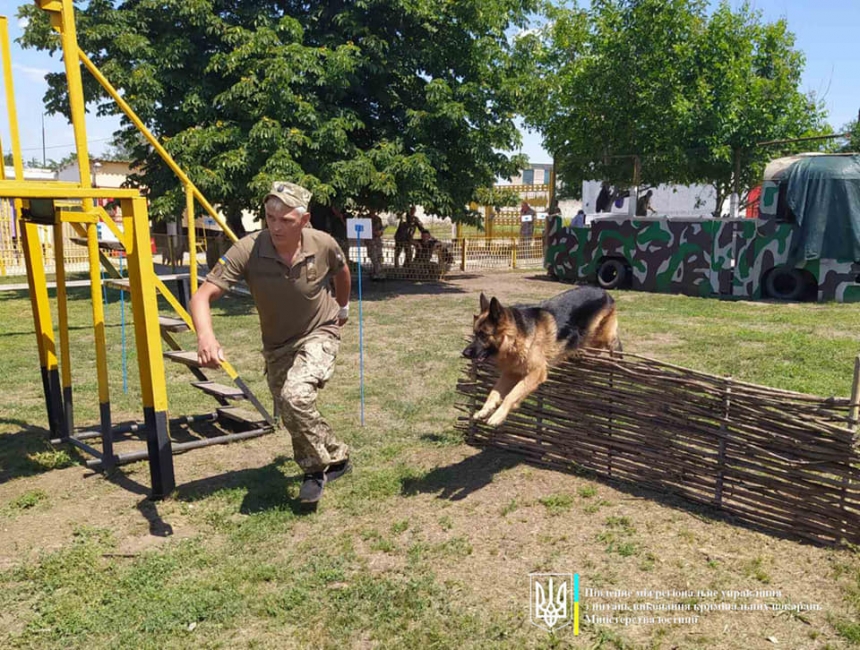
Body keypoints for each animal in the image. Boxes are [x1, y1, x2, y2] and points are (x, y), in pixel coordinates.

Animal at [464, 286, 620, 428]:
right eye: (475, 333)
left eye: (483, 336)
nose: (464, 353)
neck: (517, 336)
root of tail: (604, 292)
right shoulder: (510, 373)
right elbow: (494, 392)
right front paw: (484, 410)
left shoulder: (536, 372)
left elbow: (512, 394)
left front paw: (498, 416)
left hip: (600, 338)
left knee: (609, 346)